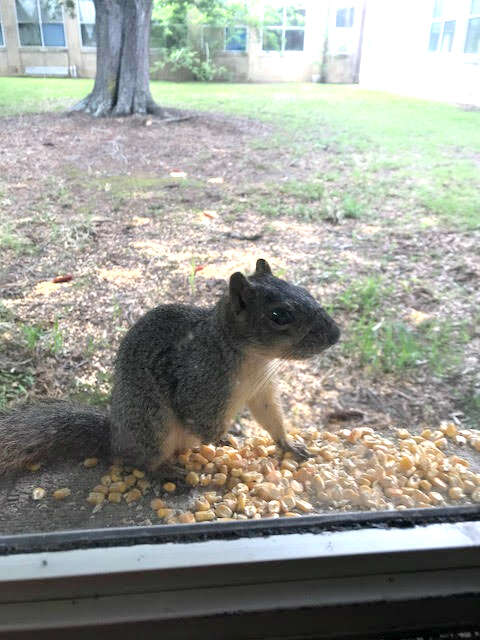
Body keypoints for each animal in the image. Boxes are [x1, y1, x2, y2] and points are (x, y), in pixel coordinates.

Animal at [0, 259, 340, 476]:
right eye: (279, 316)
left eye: (306, 291)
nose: (336, 335)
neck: (253, 357)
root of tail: (115, 439)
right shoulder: (198, 379)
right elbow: (198, 416)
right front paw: (225, 441)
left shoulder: (262, 389)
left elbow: (270, 416)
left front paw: (288, 443)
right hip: (152, 423)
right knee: (141, 463)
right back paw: (167, 472)